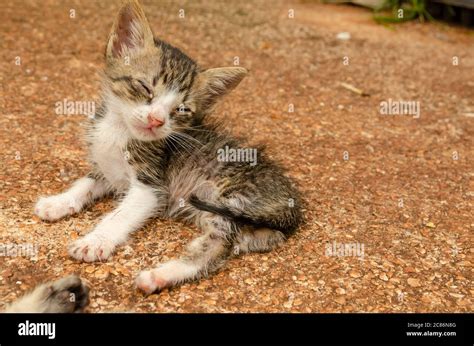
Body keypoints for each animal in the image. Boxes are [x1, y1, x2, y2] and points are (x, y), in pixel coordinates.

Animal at [34, 0, 304, 294]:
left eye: (181, 109)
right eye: (144, 87)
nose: (156, 120)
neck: (118, 130)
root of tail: (293, 205)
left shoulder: (151, 187)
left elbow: (120, 215)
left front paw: (95, 241)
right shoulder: (107, 170)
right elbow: (84, 184)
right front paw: (57, 203)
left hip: (227, 197)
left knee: (219, 244)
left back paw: (157, 276)